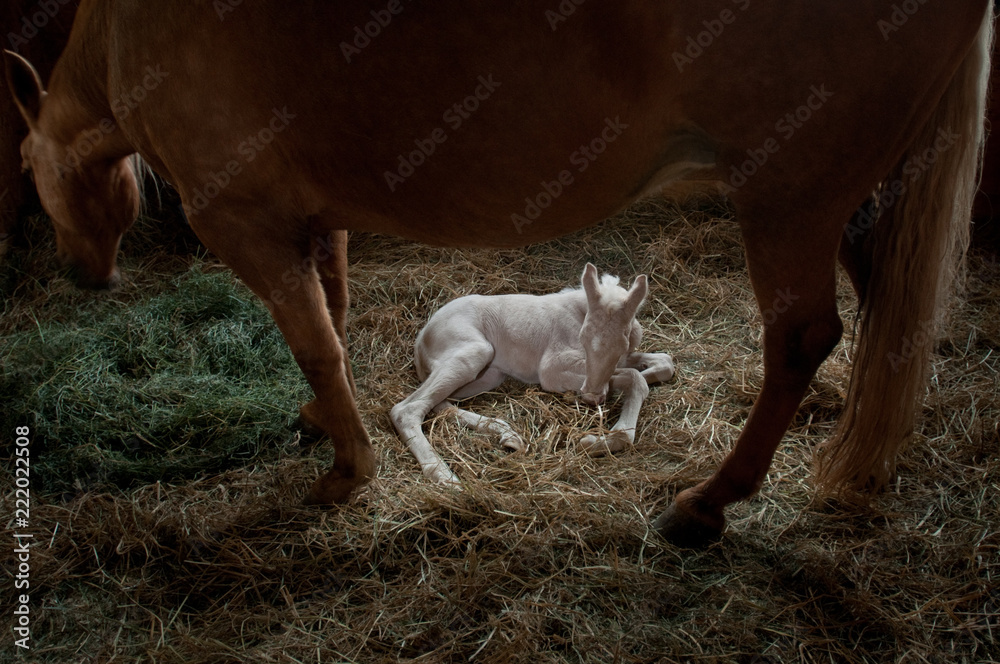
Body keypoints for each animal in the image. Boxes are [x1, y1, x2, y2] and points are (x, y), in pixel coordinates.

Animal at [391, 263, 675, 484]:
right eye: (583, 337)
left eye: (622, 344)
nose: (592, 397)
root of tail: (420, 339)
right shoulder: (551, 369)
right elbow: (634, 378)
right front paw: (595, 441)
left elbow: (664, 363)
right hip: (476, 352)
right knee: (406, 409)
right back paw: (444, 476)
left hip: (488, 375)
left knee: (439, 403)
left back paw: (507, 435)